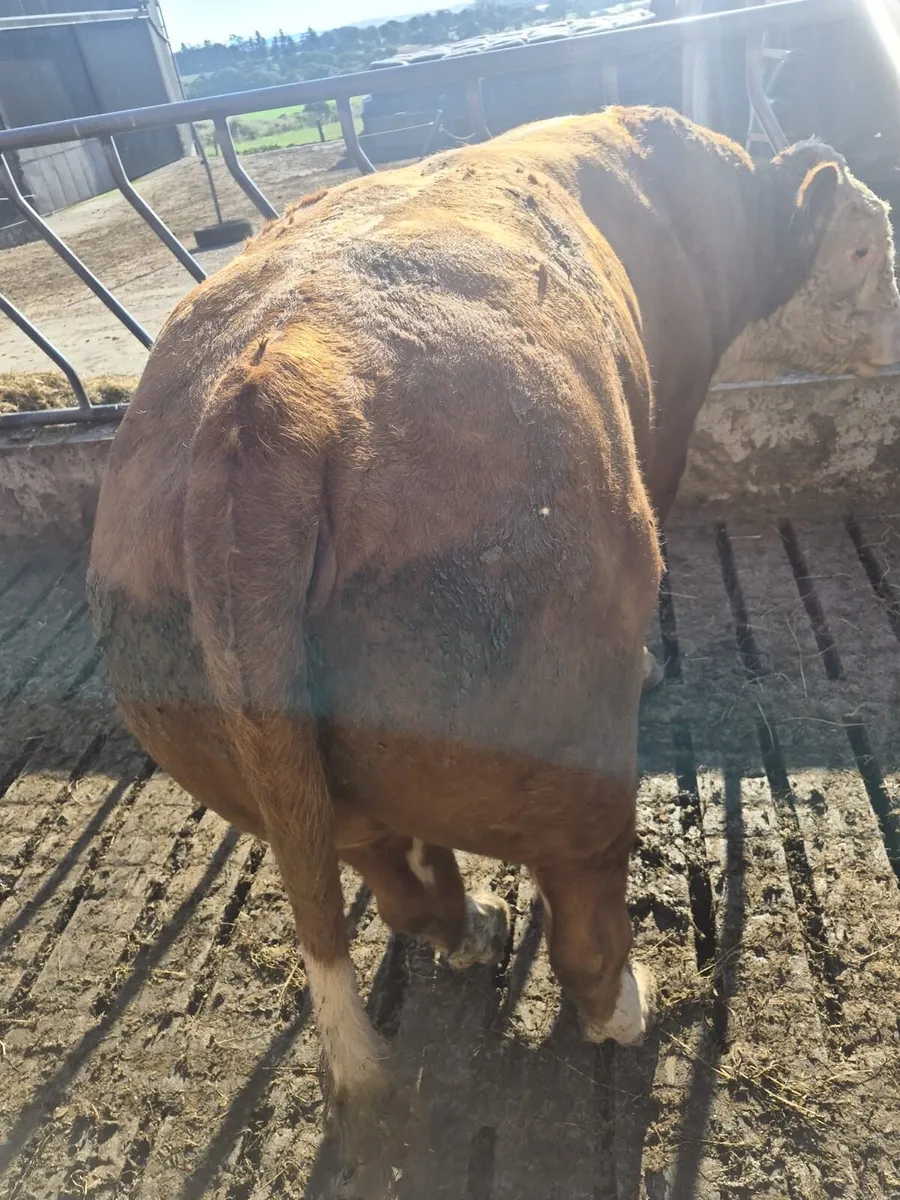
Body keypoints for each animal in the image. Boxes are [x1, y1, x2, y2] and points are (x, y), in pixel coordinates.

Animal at [87, 106, 898, 1192]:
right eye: (863, 247)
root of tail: (269, 408)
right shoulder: (670, 414)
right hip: (559, 714)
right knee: (582, 898)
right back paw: (625, 1003)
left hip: (234, 731)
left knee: (389, 872)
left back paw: (471, 927)